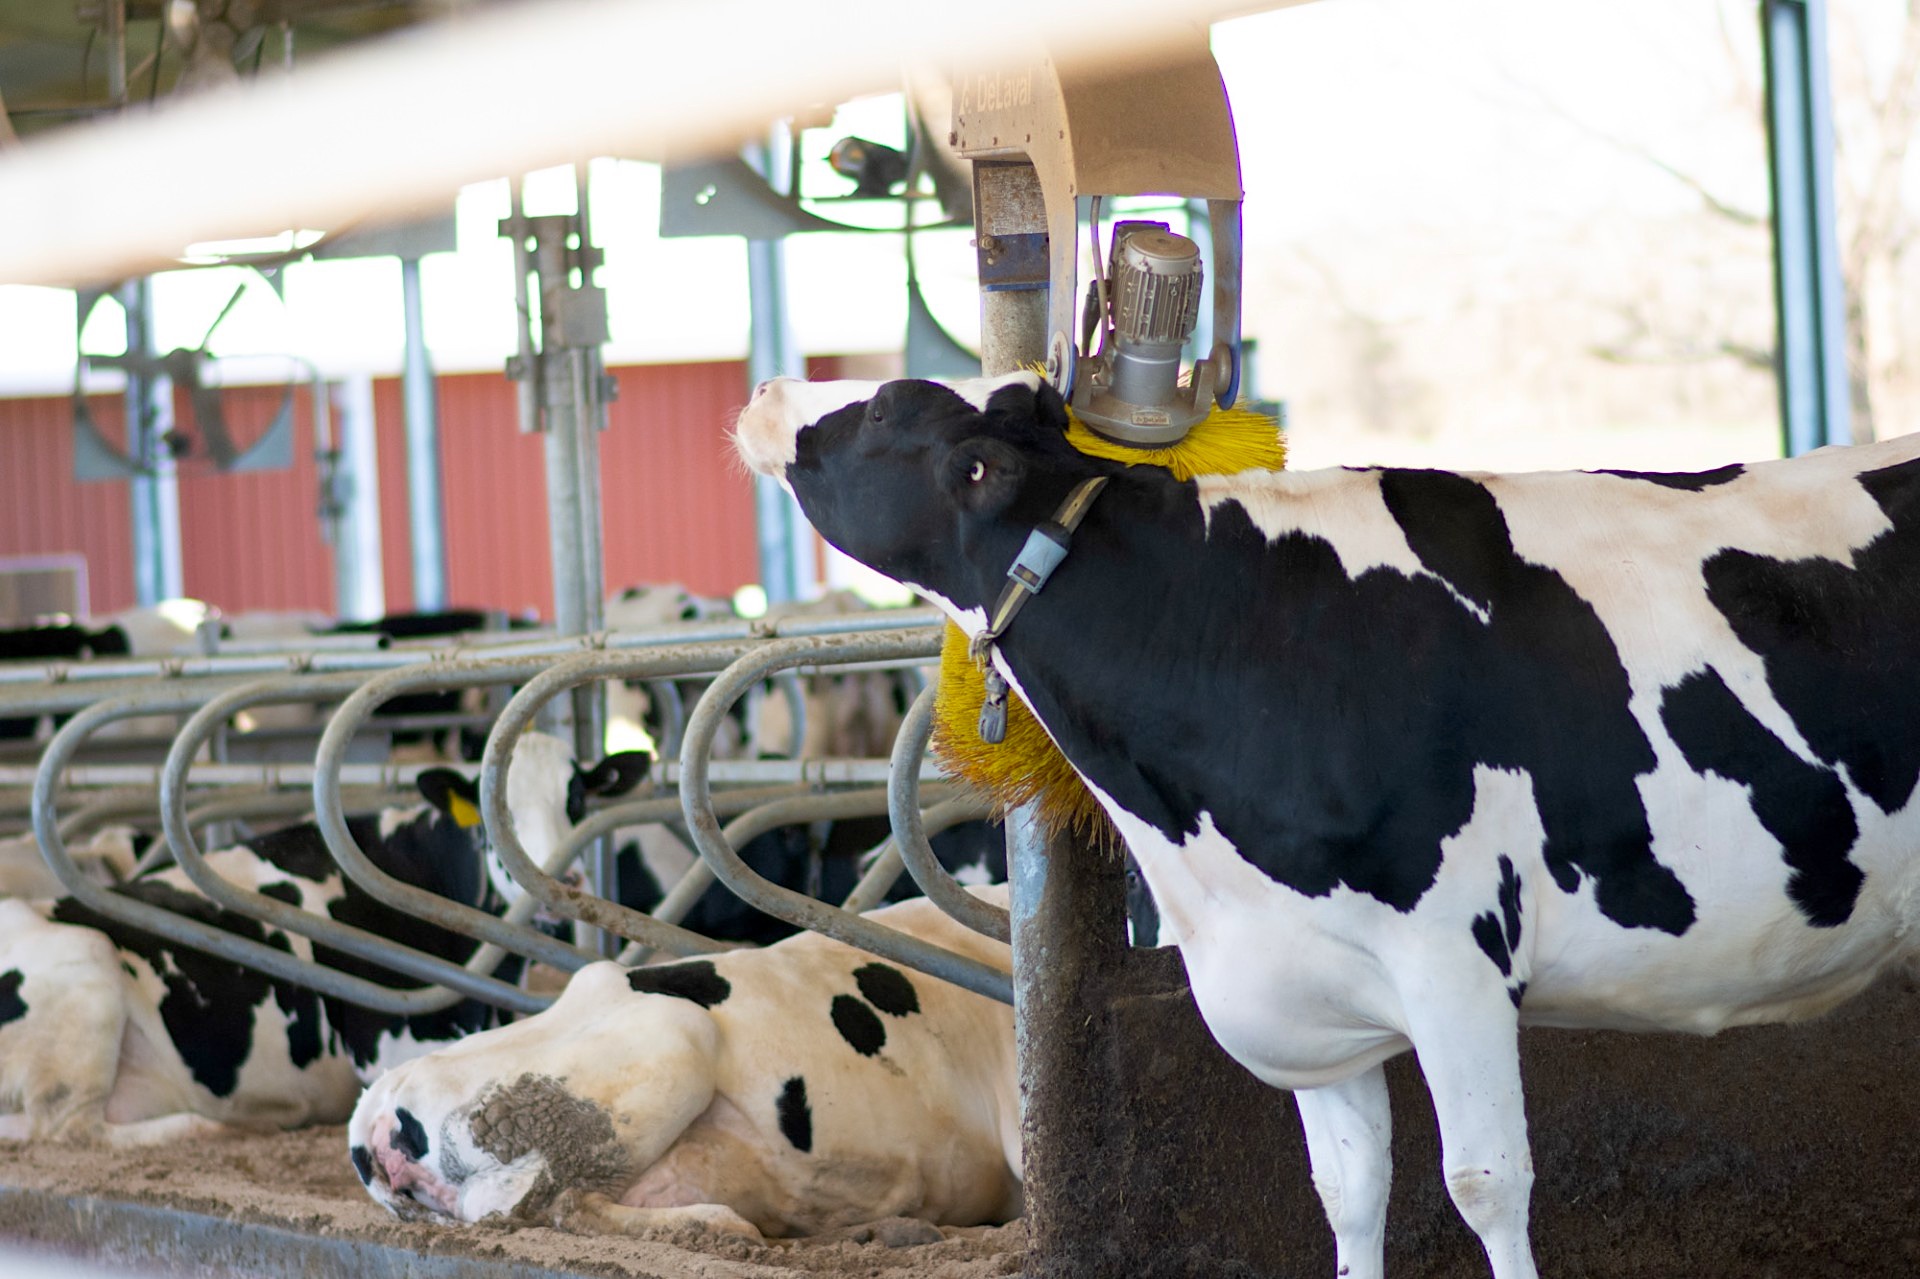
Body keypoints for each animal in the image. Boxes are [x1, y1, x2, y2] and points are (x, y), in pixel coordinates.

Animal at [0, 734, 643, 1147]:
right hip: (86, 962)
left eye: (576, 797)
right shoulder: (391, 1042)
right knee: (68, 1128)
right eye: (493, 812)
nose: (564, 883)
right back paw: (218, 1126)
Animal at [734, 369, 1920, 1279]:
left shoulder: (1456, 961)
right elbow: (1348, 1190)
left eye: (887, 410)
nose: (765, 390)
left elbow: (1485, 1183)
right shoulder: (1304, 989)